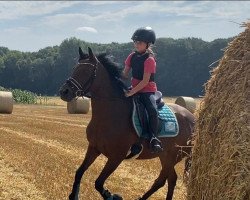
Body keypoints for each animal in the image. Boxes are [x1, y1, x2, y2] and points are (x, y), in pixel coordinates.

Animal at [59, 47, 195, 200]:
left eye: (86, 71)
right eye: (74, 69)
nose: (64, 91)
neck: (108, 115)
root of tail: (193, 119)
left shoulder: (117, 156)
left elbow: (98, 182)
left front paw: (112, 196)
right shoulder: (94, 148)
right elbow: (79, 172)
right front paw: (74, 195)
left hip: (173, 156)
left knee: (162, 180)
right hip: (165, 156)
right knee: (171, 179)